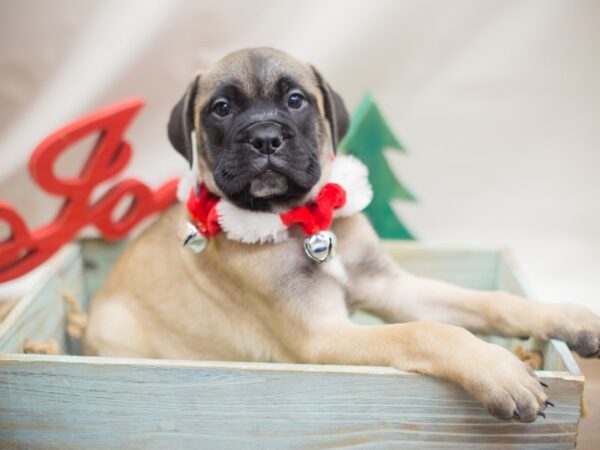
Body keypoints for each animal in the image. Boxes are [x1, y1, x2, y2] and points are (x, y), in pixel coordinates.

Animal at [84, 47, 600, 424]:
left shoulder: (392, 288)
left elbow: (488, 302)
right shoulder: (322, 335)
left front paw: (567, 316)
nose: (265, 138)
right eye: (222, 109)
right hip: (116, 325)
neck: (300, 220)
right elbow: (426, 331)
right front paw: (499, 370)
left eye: (296, 100)